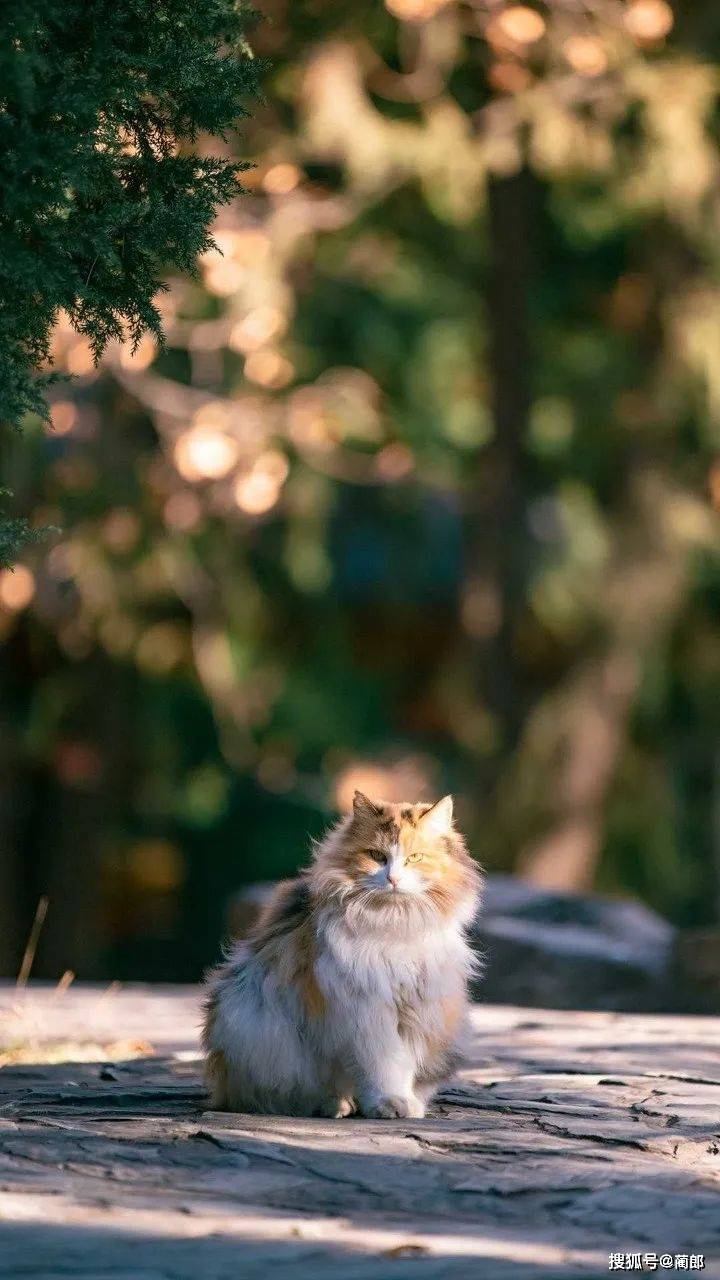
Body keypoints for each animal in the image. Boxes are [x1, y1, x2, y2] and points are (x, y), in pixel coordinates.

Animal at [202, 788, 479, 1121]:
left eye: (415, 858)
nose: (393, 879)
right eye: (377, 856)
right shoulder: (367, 1011)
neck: (394, 922)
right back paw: (335, 1105)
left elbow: (406, 1065)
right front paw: (389, 1103)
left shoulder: (417, 1007)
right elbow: (386, 1065)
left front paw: (406, 1103)